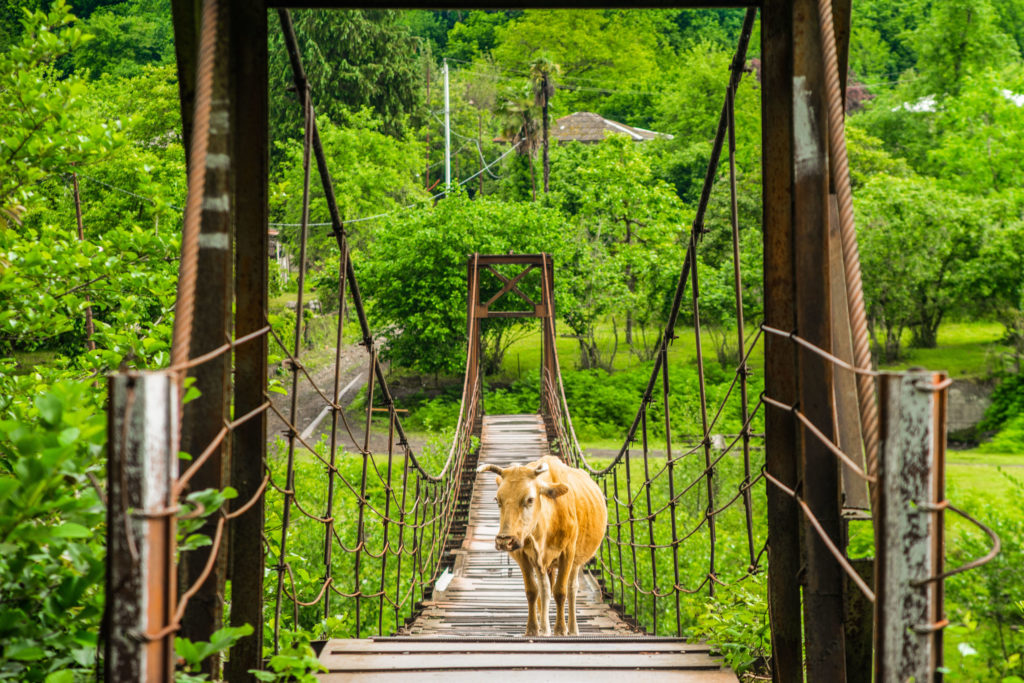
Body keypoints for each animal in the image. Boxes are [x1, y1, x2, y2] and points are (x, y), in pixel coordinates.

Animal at [475, 454, 602, 634]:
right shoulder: (523, 556)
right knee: (545, 589)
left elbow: (561, 591)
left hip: (576, 561)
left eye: (529, 499)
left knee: (571, 588)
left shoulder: (568, 553)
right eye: (497, 500)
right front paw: (533, 629)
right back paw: (545, 628)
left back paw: (572, 629)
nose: (504, 540)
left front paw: (560, 629)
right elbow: (533, 591)